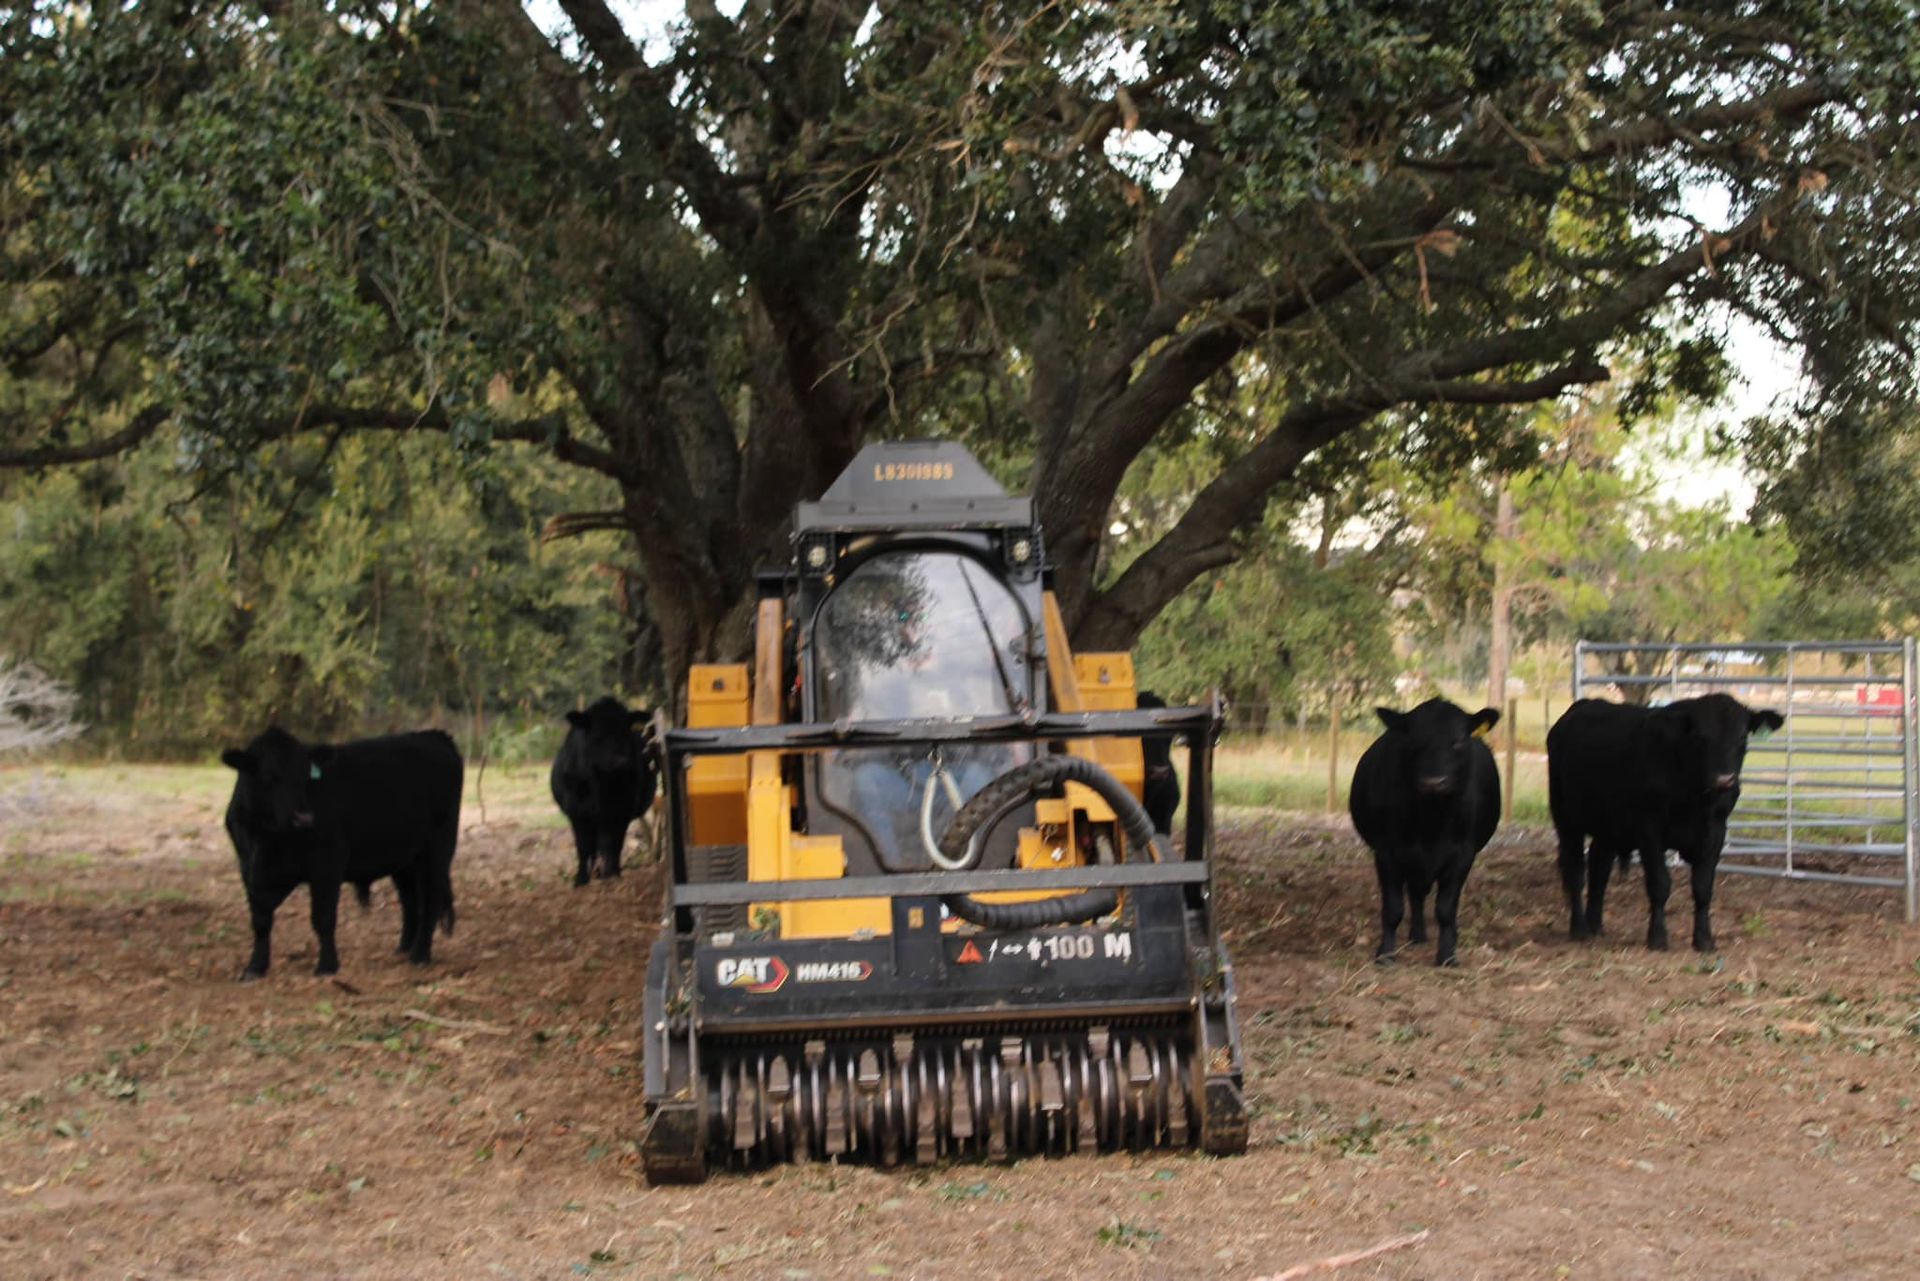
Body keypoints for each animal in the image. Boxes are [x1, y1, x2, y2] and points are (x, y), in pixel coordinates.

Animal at [221, 727, 462, 980]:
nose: (304, 817)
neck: (269, 838)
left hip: (437, 850)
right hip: (404, 859)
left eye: (306, 776)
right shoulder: (248, 868)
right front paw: (255, 967)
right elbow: (260, 920)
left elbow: (323, 917)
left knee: (430, 900)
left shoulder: (327, 862)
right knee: (410, 900)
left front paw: (327, 965)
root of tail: (434, 735)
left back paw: (420, 955)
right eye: (269, 776)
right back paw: (404, 948)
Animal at [550, 697, 658, 887]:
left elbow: (613, 844)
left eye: (625, 732)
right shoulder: (577, 813)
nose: (621, 761)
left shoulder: (620, 812)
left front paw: (612, 874)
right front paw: (580, 879)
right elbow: (583, 847)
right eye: (597, 736)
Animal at [1349, 698, 1502, 966]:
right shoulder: (1387, 852)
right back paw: (1417, 935)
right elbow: (1393, 908)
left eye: (1458, 741)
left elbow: (1445, 908)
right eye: (1413, 741)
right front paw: (1385, 954)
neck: (1432, 822)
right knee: (1415, 893)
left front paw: (1447, 955)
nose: (1434, 782)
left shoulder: (1463, 854)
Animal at [1548, 694, 1784, 953]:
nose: (1724, 779)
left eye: (1742, 737)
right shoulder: (1649, 831)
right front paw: (1658, 937)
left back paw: (1595, 925)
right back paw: (1579, 928)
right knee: (1575, 871)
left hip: (1607, 827)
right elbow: (1660, 884)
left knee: (1599, 868)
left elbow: (1703, 888)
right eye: (1700, 737)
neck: (1696, 799)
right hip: (1565, 819)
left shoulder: (1715, 833)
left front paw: (1704, 939)